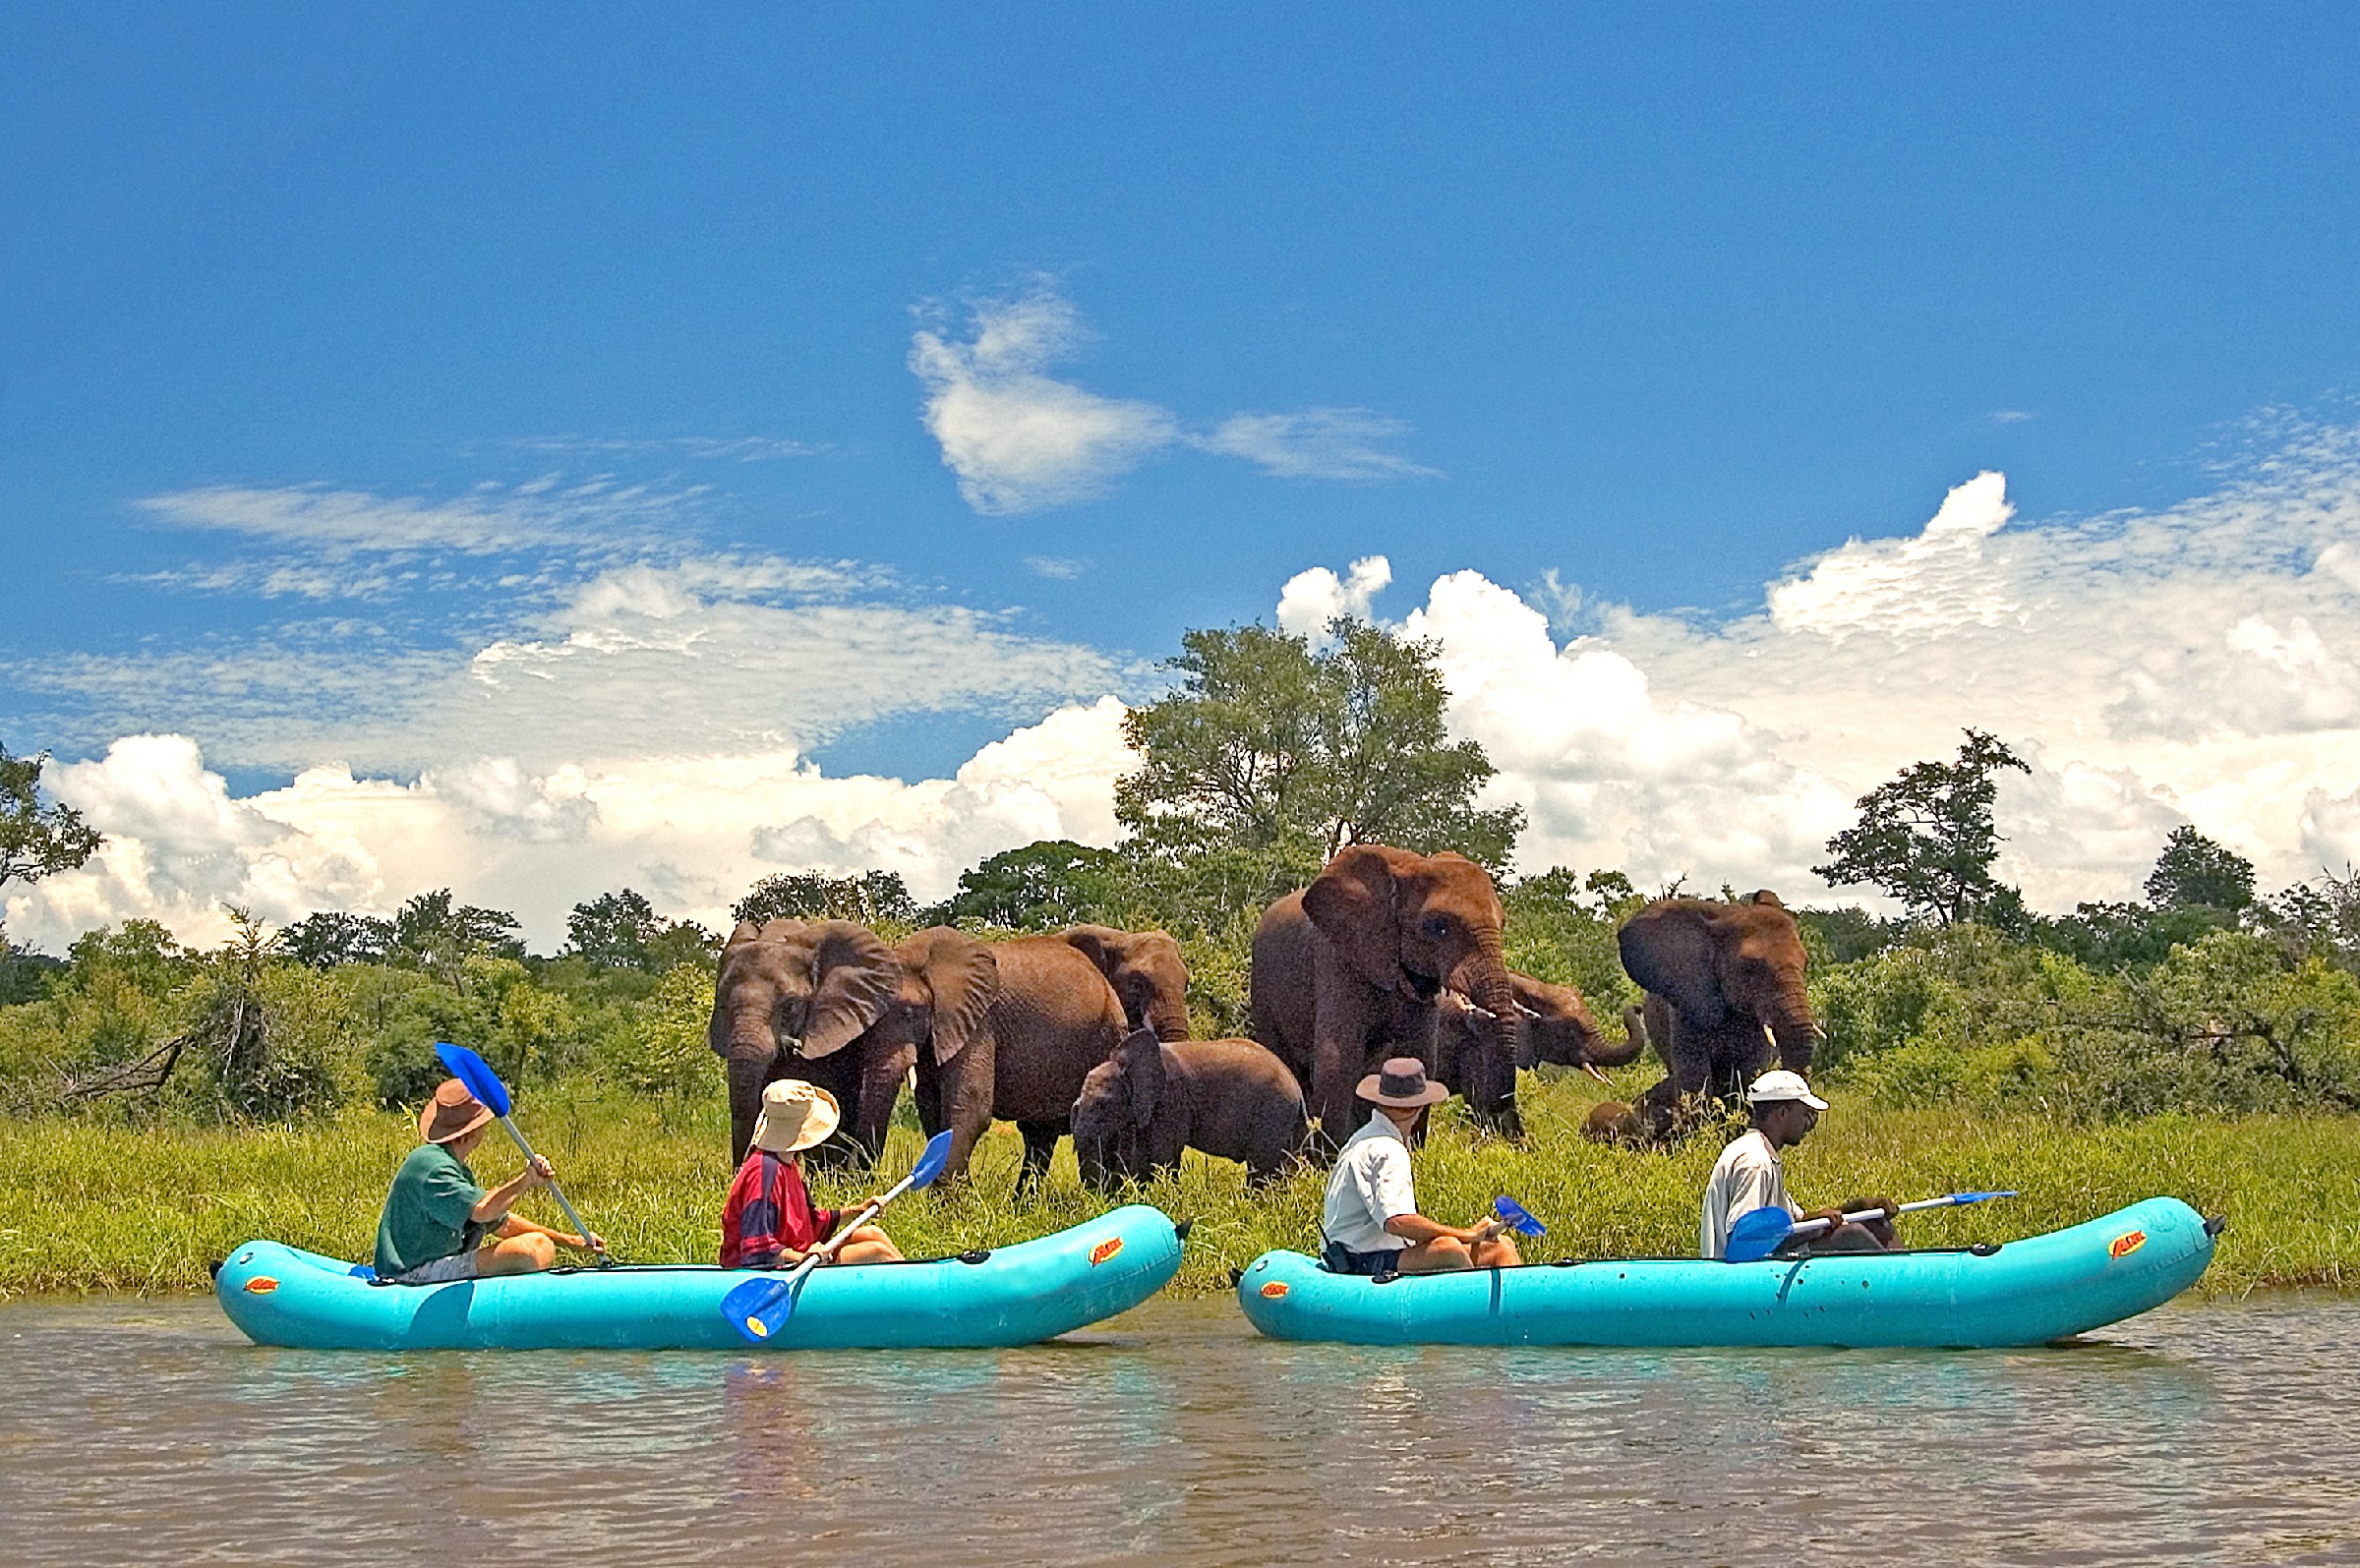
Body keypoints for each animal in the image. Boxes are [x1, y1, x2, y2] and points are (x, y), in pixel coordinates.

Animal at [906, 929, 1128, 1188]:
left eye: (908, 1012)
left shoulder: (979, 1026)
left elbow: (971, 1109)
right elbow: (931, 1108)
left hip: (1107, 1036)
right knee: (1040, 1133)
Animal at [1071, 1027, 1312, 1188]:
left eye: (1102, 1104)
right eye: (1076, 1107)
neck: (1123, 1064)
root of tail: (1297, 1090)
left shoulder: (1171, 1099)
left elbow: (1162, 1155)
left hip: (1272, 1114)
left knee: (1262, 1170)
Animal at [1246, 848, 1519, 1145]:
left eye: (1503, 924)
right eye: (1439, 927)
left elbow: (1421, 1056)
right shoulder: (1336, 955)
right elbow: (1337, 1058)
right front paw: (1337, 1150)